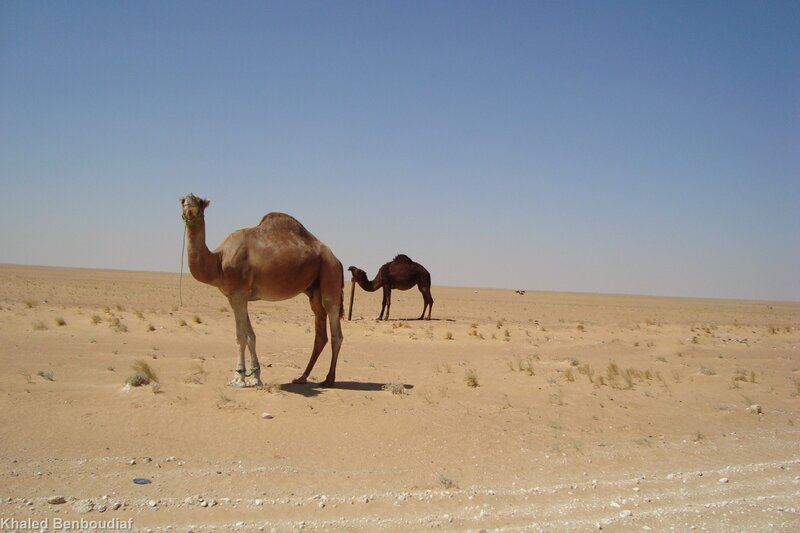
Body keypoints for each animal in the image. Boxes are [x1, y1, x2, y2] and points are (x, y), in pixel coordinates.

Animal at [180, 193, 344, 387]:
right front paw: (254, 377)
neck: (218, 260)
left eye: (199, 203)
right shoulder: (234, 296)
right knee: (320, 335)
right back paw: (302, 377)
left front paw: (239, 379)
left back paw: (329, 379)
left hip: (329, 273)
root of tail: (337, 260)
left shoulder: (239, 293)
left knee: (335, 331)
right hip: (314, 290)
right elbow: (250, 336)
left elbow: (241, 337)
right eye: (183, 201)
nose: (189, 210)